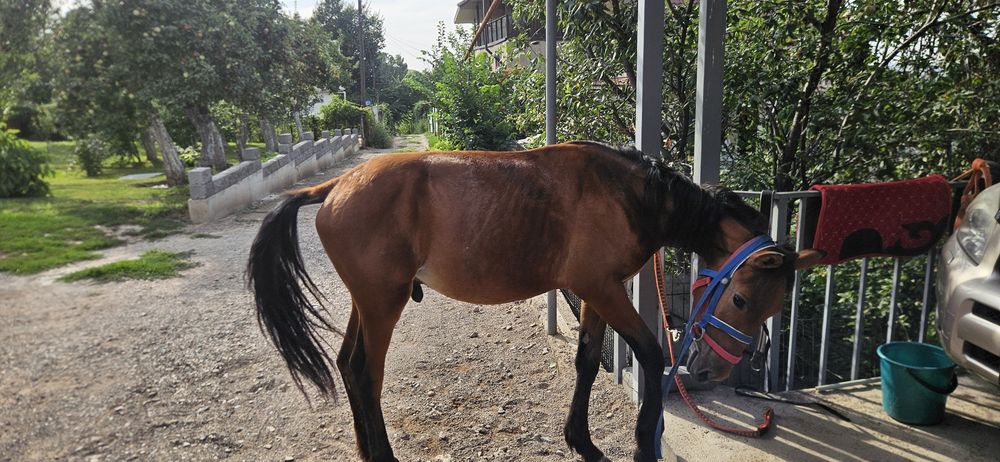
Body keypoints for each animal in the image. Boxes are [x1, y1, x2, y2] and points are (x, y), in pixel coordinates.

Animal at [247, 141, 824, 462]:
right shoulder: (605, 289)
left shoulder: (595, 291)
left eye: (770, 307)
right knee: (366, 374)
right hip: (382, 303)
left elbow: (587, 361)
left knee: (347, 364)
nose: (715, 370)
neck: (630, 194)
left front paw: (582, 442)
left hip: (366, 302)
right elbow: (650, 354)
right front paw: (642, 445)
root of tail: (335, 186)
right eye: (743, 300)